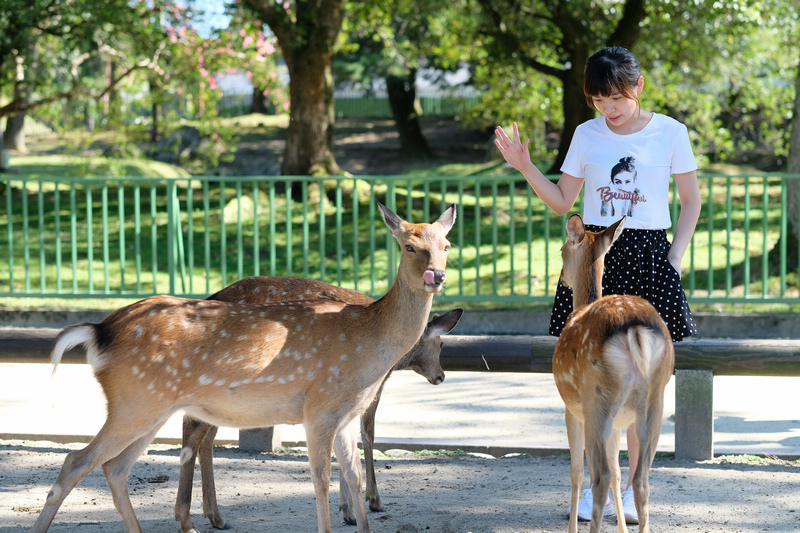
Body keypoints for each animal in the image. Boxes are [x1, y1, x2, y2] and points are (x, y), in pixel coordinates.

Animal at [174, 274, 462, 532]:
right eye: (441, 343)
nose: (441, 375)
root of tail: (211, 296)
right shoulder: (367, 388)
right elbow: (367, 436)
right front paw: (368, 502)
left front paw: (347, 508)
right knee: (193, 428)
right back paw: (194, 516)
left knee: (205, 435)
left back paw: (214, 515)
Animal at [556, 215, 676, 532]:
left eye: (561, 250)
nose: (561, 277)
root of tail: (635, 331)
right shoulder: (620, 423)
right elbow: (620, 471)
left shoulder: (572, 409)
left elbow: (576, 471)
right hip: (653, 402)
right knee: (640, 479)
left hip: (597, 401)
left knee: (600, 477)